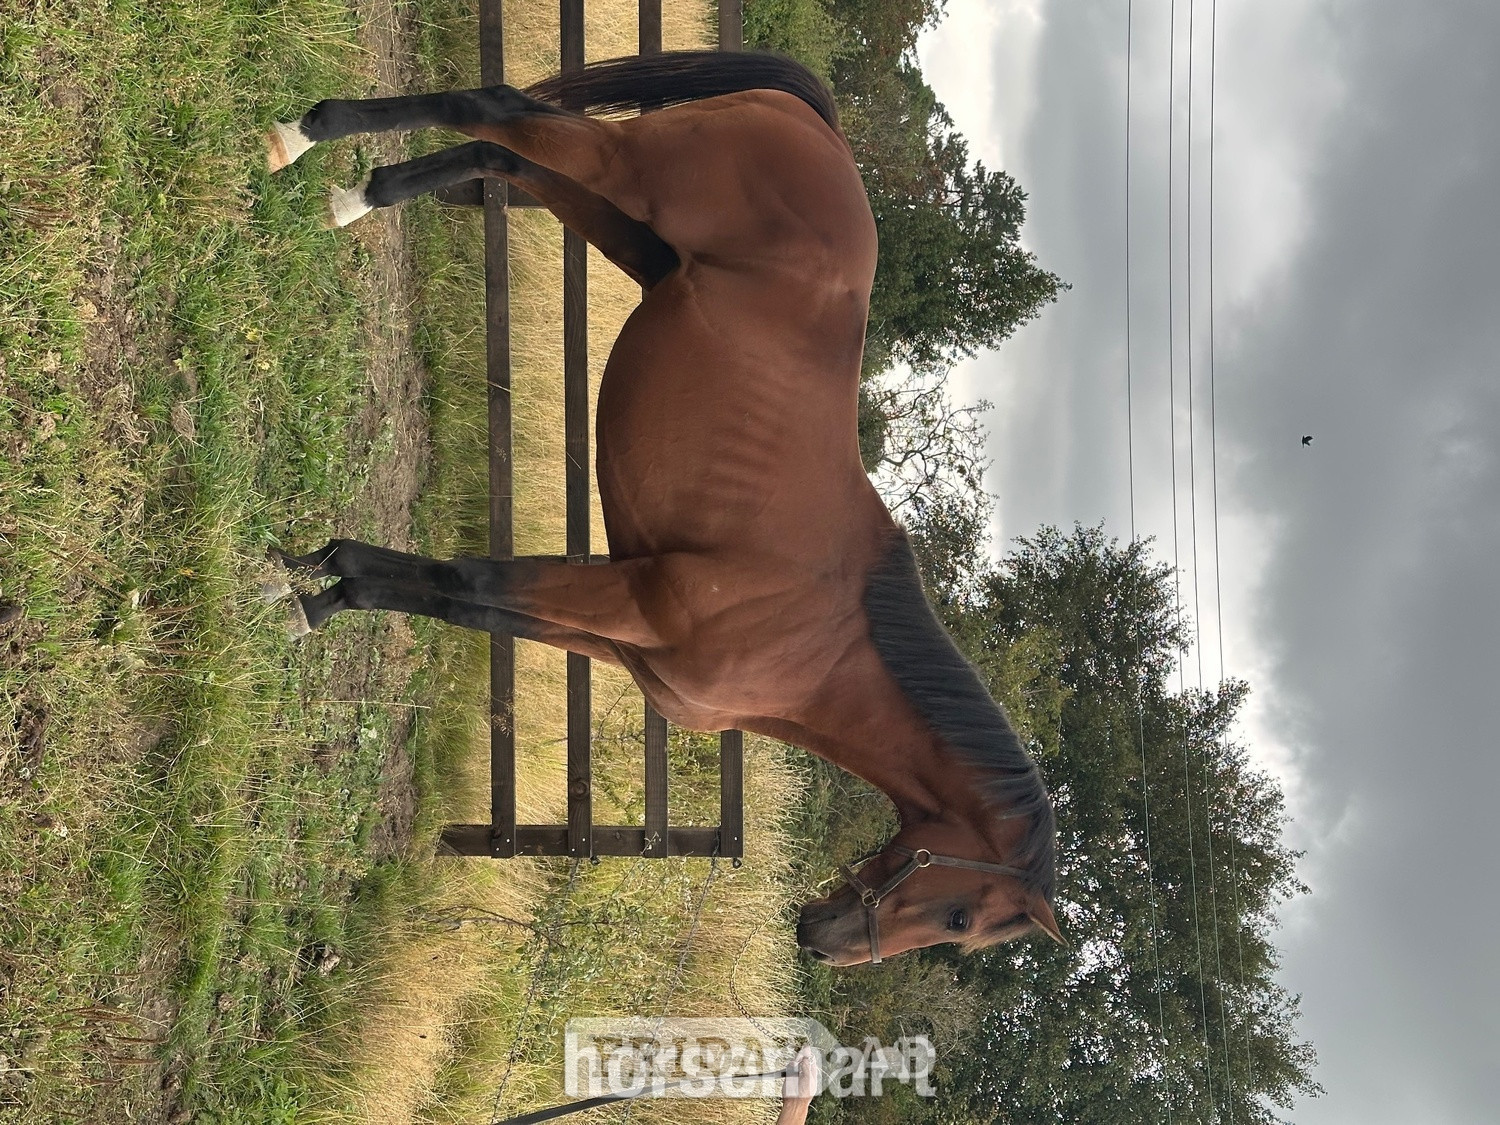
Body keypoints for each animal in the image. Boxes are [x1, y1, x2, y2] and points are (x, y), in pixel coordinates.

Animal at [265, 50, 1062, 965]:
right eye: (962, 916)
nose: (820, 938)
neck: (822, 644)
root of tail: (819, 131)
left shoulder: (614, 627)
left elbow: (465, 599)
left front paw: (320, 581)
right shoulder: (634, 597)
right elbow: (468, 581)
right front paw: (315, 588)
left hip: (628, 232)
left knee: (503, 156)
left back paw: (359, 194)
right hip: (629, 175)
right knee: (492, 108)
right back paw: (305, 135)